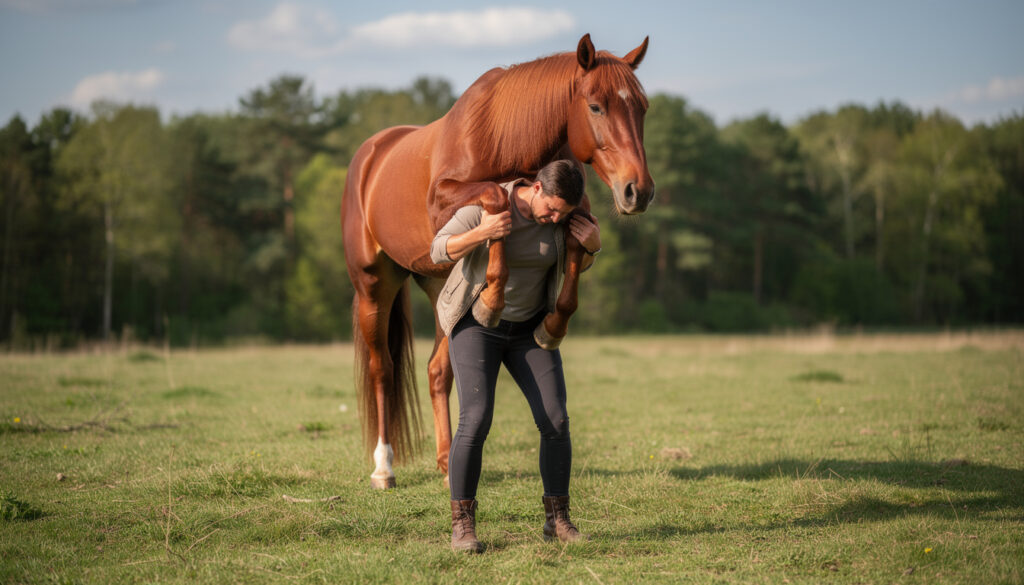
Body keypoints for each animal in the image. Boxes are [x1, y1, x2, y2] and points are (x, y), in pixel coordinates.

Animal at [341, 34, 655, 489]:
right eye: (596, 106)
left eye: (642, 107)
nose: (639, 191)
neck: (501, 135)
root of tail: (371, 154)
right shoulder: (447, 204)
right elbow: (495, 198)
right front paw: (492, 299)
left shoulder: (572, 211)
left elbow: (575, 258)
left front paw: (552, 325)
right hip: (373, 284)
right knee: (382, 368)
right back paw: (384, 467)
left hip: (439, 285)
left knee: (439, 371)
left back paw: (446, 461)